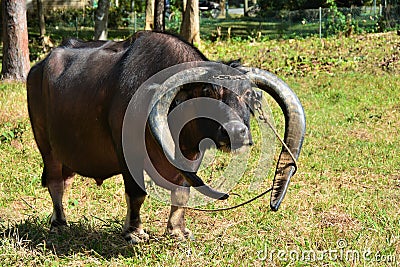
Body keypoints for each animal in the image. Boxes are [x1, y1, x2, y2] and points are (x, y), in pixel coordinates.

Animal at [26, 30, 304, 244]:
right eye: (208, 92)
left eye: (249, 95)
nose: (236, 132)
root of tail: (36, 69)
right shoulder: (128, 155)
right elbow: (136, 194)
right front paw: (134, 232)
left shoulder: (191, 158)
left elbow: (182, 193)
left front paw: (177, 231)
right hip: (45, 145)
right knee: (55, 182)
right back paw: (60, 223)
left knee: (65, 180)